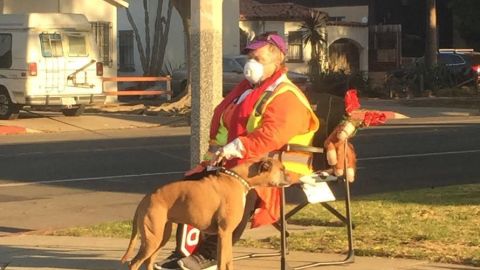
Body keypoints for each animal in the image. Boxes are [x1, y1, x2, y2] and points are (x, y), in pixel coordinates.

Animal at [122, 158, 290, 270]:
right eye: (281, 169)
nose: (291, 176)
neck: (239, 179)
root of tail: (146, 198)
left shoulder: (225, 235)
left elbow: (227, 261)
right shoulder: (225, 233)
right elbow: (223, 261)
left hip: (161, 237)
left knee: (148, 261)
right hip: (152, 239)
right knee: (134, 263)